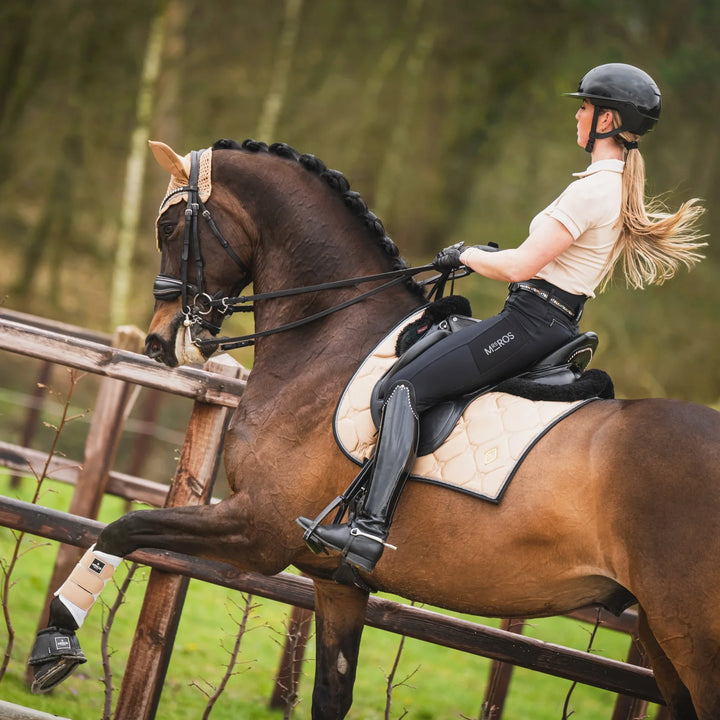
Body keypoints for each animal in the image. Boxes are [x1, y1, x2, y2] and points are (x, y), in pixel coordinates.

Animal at [32, 138, 720, 716]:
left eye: (171, 226)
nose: (158, 340)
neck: (327, 339)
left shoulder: (260, 529)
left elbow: (123, 528)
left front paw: (55, 644)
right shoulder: (334, 582)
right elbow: (331, 695)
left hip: (693, 640)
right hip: (661, 635)